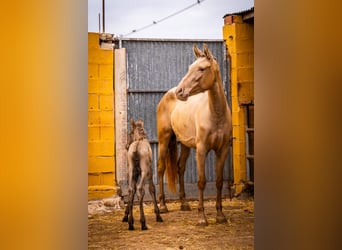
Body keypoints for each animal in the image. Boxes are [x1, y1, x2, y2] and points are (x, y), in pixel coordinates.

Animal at [156, 44, 231, 226]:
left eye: (202, 68)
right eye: (190, 67)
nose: (180, 91)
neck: (216, 114)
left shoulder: (223, 150)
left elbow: (219, 181)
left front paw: (220, 216)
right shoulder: (201, 150)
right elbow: (201, 181)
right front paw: (202, 217)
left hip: (184, 145)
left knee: (180, 168)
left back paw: (184, 203)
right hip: (164, 140)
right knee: (161, 168)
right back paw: (162, 206)